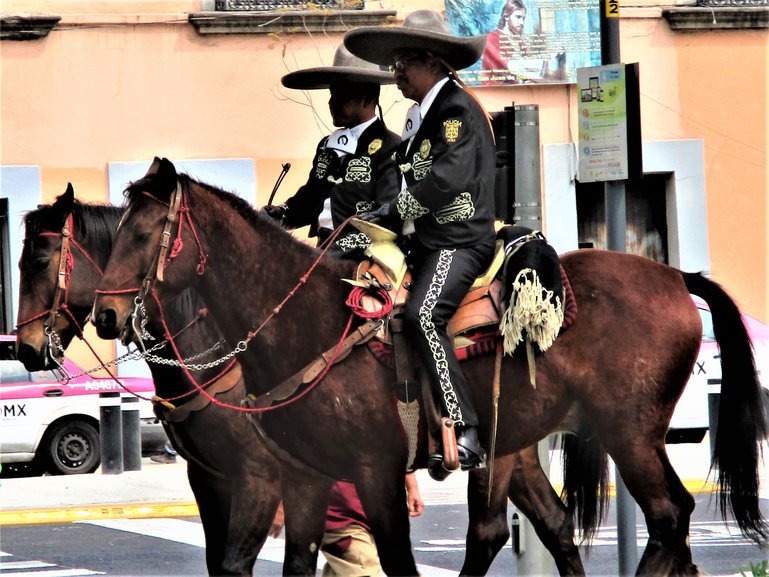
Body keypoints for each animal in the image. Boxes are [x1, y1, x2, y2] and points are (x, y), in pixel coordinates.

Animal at [13, 183, 608, 576]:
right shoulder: (211, 479)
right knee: (555, 526)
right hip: (519, 445)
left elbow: (236, 563)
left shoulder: (259, 478)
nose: (23, 348)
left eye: (40, 260)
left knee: (490, 531)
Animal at [93, 155, 764, 572]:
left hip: (630, 434)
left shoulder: (373, 474)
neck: (302, 323)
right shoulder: (305, 477)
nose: (105, 314)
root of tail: (676, 277)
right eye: (116, 233)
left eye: (144, 234)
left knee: (669, 516)